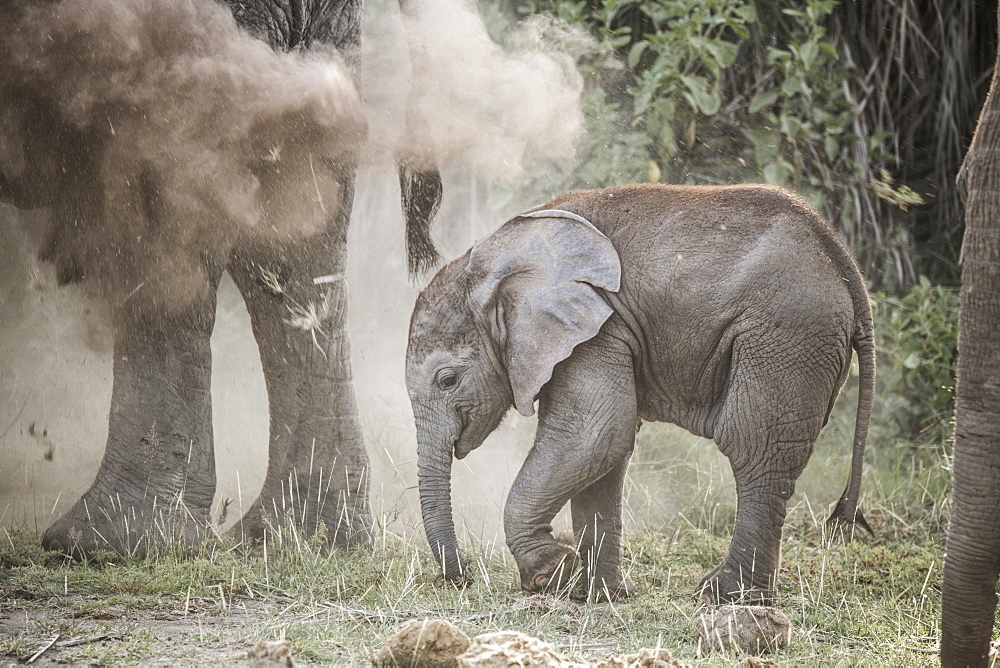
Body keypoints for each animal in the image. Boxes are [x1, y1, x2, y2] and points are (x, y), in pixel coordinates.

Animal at [406, 183, 876, 604]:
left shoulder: (600, 328)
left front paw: (550, 571)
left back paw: (723, 595)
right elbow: (603, 453)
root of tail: (847, 270)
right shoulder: (604, 329)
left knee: (755, 448)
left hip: (786, 333)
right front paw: (598, 596)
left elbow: (592, 437)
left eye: (447, 380)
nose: (464, 577)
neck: (495, 257)